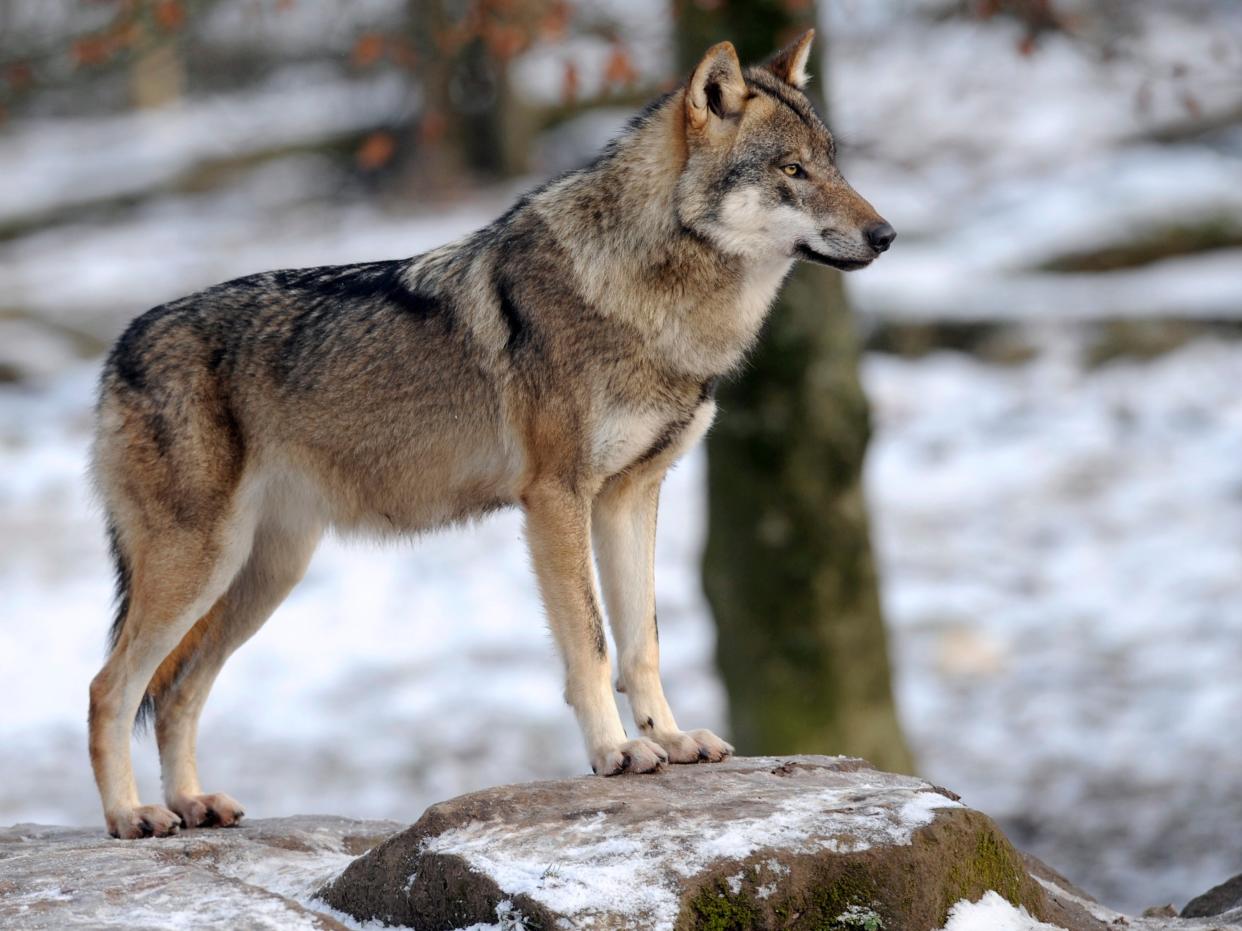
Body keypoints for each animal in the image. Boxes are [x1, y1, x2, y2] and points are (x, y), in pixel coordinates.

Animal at [91, 32, 899, 844]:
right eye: (791, 171)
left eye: (833, 161)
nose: (887, 235)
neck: (650, 298)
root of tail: (118, 349)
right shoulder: (556, 499)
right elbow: (591, 641)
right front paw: (616, 752)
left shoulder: (630, 496)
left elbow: (643, 642)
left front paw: (670, 739)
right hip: (201, 567)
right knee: (111, 687)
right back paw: (133, 814)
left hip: (263, 574)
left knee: (177, 691)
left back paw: (193, 804)